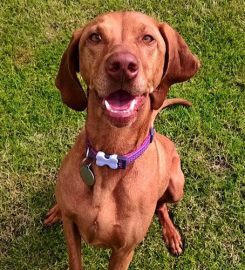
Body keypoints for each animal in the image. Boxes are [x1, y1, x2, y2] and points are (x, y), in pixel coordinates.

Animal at [44, 11, 199, 270]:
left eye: (148, 38)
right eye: (95, 37)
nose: (122, 65)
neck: (111, 154)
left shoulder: (124, 250)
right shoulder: (72, 230)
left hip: (177, 185)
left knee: (162, 205)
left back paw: (171, 233)